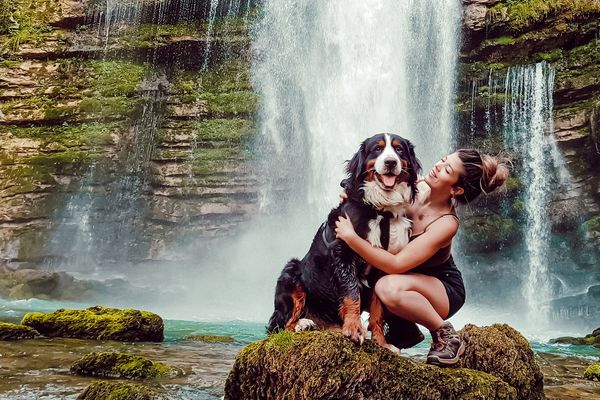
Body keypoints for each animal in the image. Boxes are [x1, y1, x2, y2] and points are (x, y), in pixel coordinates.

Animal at [268, 133, 422, 348]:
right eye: (377, 149)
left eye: (399, 149)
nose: (391, 162)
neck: (380, 210)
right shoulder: (344, 253)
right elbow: (351, 293)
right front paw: (354, 328)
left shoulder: (385, 263)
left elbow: (377, 310)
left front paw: (381, 343)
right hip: (291, 273)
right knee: (280, 326)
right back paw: (302, 324)